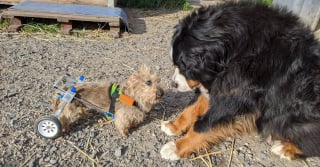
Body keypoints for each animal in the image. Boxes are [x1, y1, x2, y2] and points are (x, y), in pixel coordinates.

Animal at [160, 0, 320, 160]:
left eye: (184, 67)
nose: (173, 83)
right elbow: (191, 107)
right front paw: (173, 126)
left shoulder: (235, 96)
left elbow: (204, 125)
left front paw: (175, 147)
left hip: (293, 118)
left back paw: (285, 148)